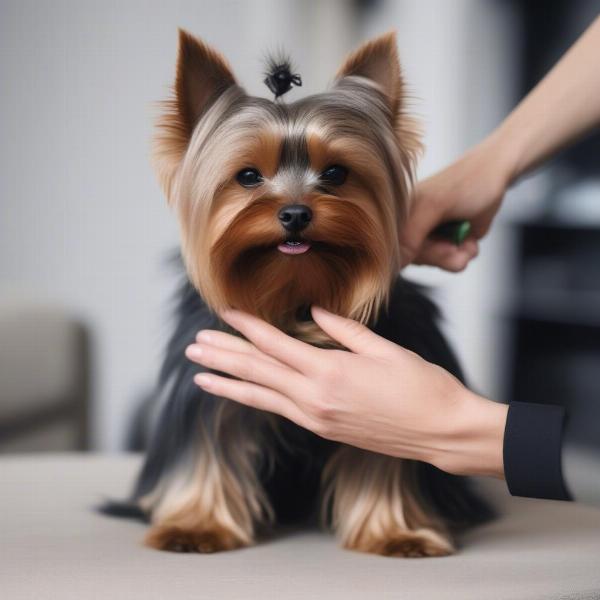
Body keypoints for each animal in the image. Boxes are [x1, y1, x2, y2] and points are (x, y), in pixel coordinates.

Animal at [103, 29, 492, 556]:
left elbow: (386, 457)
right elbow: (208, 444)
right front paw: (197, 527)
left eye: (336, 173)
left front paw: (396, 532)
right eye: (248, 176)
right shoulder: (210, 379)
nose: (294, 213)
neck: (291, 293)